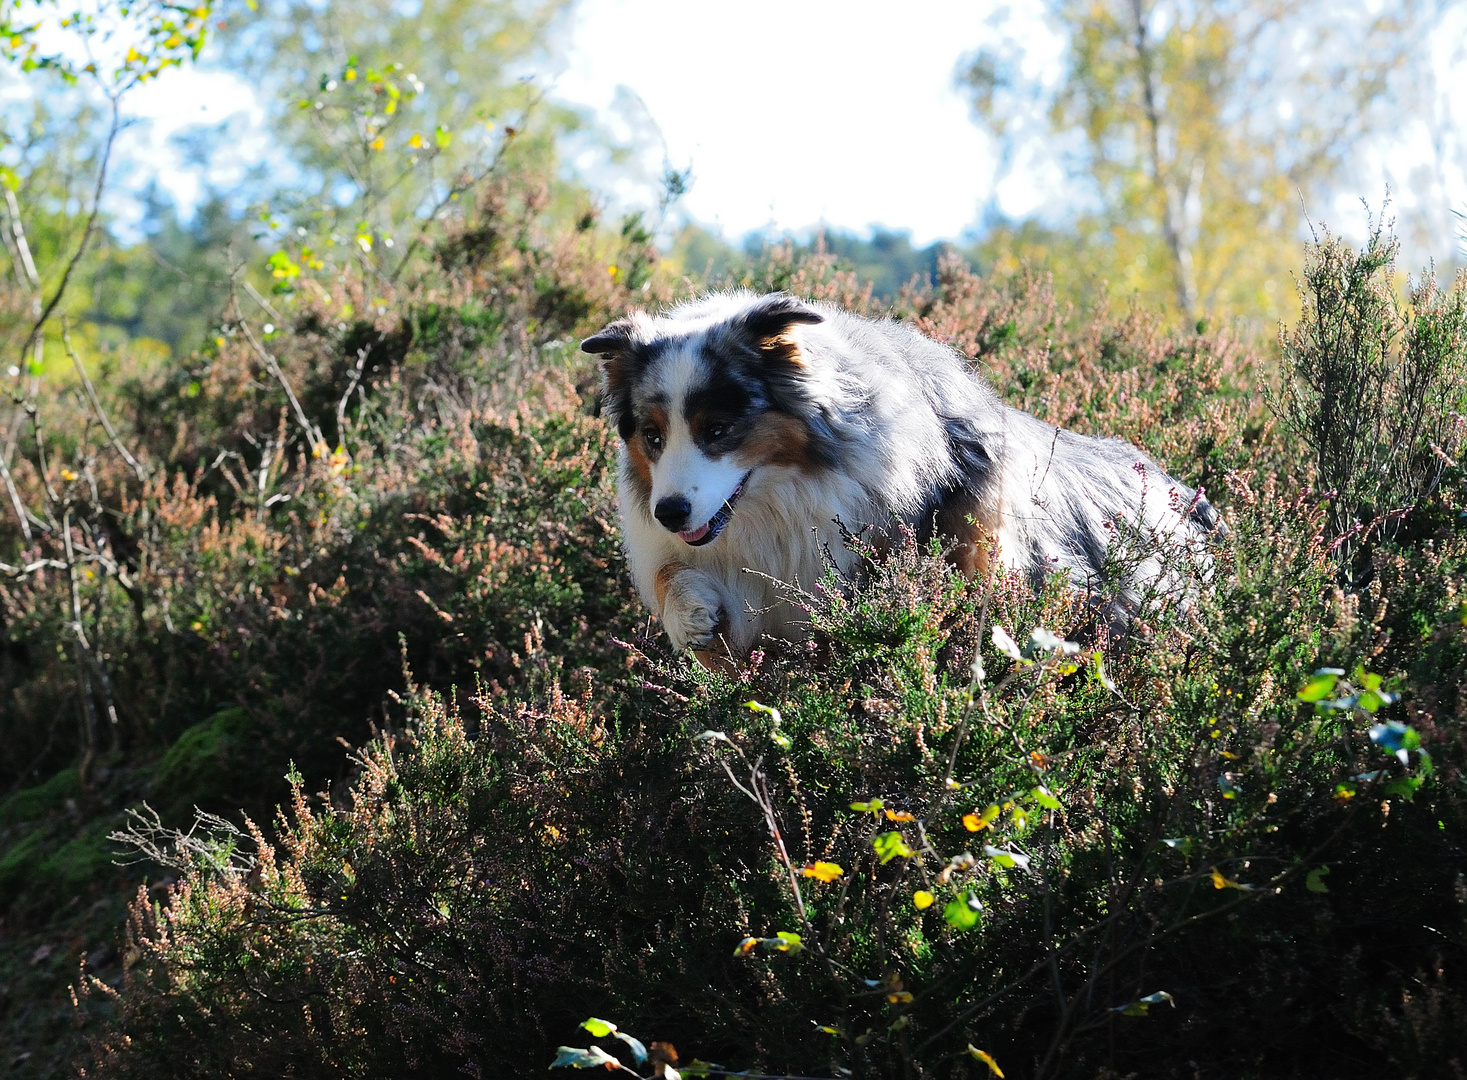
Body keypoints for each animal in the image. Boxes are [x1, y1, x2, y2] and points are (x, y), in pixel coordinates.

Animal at [577, 290, 1220, 663]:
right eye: (653, 437)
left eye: (717, 429)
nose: (669, 512)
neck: (784, 500)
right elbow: (675, 581)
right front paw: (691, 615)